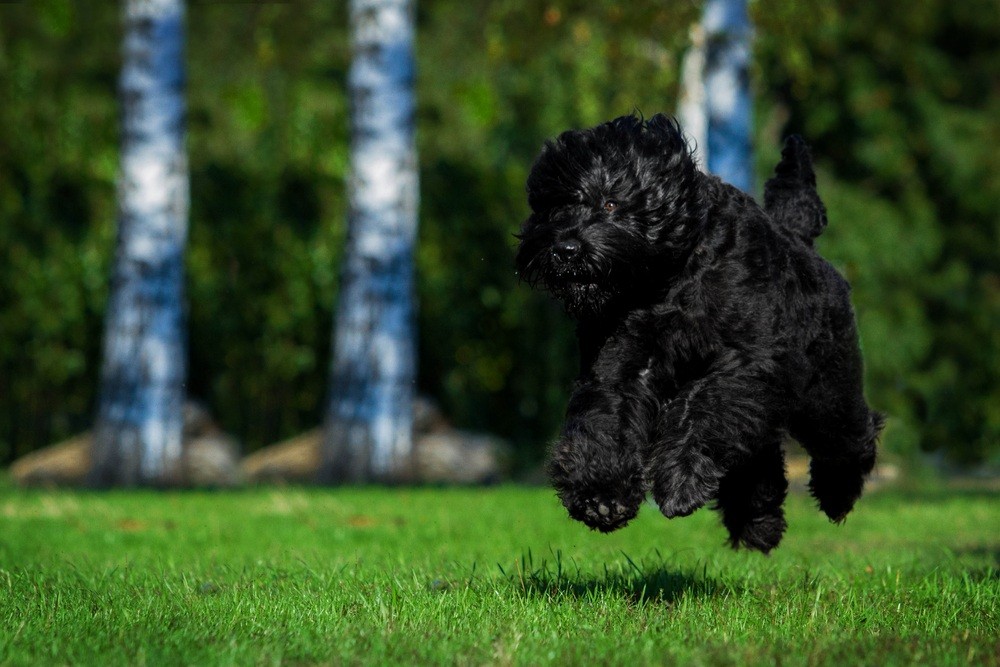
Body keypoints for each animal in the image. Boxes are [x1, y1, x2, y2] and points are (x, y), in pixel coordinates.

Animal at [516, 115, 884, 552]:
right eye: (553, 207)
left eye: (610, 203)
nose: (565, 249)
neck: (667, 278)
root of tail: (801, 240)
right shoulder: (620, 362)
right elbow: (605, 418)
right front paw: (600, 495)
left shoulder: (745, 362)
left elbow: (703, 405)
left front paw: (681, 481)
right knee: (758, 461)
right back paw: (758, 523)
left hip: (826, 392)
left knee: (848, 435)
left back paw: (836, 494)